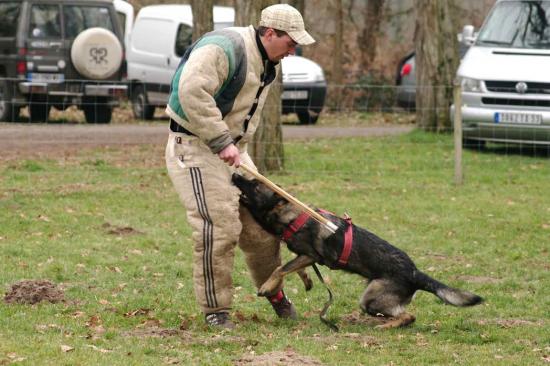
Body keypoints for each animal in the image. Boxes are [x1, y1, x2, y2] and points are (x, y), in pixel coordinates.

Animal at [232, 174, 484, 328]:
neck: (293, 216)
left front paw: (267, 286)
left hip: (371, 299)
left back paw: (387, 326)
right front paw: (306, 281)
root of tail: (414, 272)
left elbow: (279, 269)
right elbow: (290, 268)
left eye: (255, 185)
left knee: (408, 316)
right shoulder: (304, 257)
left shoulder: (311, 255)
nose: (234, 175)